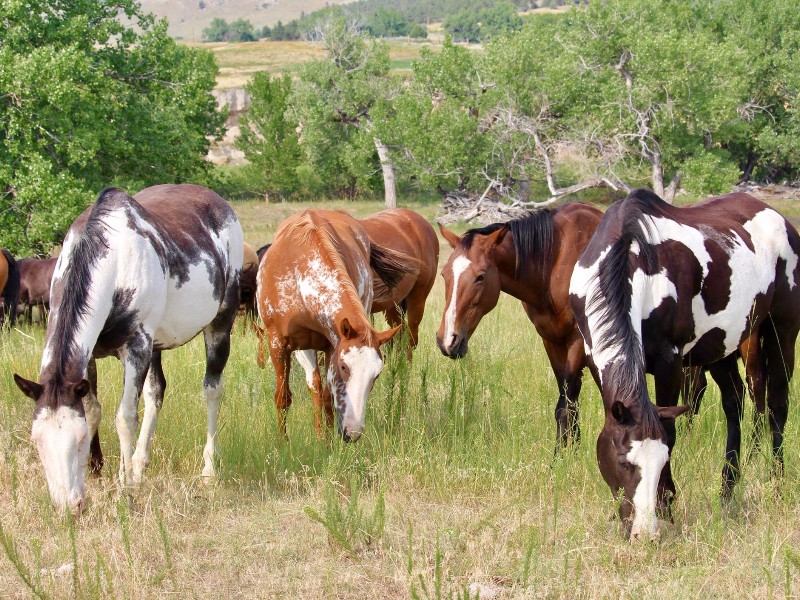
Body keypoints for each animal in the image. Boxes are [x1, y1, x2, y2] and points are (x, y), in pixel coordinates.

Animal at [13, 183, 244, 510]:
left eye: (79, 440)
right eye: (37, 442)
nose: (68, 505)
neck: (114, 263)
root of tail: (219, 203)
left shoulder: (137, 346)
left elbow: (125, 417)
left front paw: (125, 487)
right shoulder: (92, 356)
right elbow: (93, 409)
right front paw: (99, 471)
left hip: (220, 323)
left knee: (211, 389)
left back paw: (208, 470)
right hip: (155, 344)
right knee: (156, 391)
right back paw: (139, 464)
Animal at [256, 210, 410, 440]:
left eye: (377, 373)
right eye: (344, 367)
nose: (352, 432)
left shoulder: (331, 346)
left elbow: (328, 397)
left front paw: (326, 444)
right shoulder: (279, 345)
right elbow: (283, 397)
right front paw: (283, 443)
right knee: (313, 386)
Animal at [434, 204, 604, 448]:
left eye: (480, 277)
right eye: (444, 273)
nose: (447, 340)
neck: (558, 264)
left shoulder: (577, 341)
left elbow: (568, 405)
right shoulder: (551, 339)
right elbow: (567, 404)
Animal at [568, 190, 800, 540]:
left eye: (662, 461)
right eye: (623, 462)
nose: (643, 532)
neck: (629, 257)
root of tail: (779, 218)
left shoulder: (670, 364)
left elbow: (669, 431)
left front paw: (666, 507)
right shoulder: (597, 361)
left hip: (781, 330)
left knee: (777, 404)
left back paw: (775, 480)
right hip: (722, 346)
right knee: (734, 403)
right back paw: (727, 489)